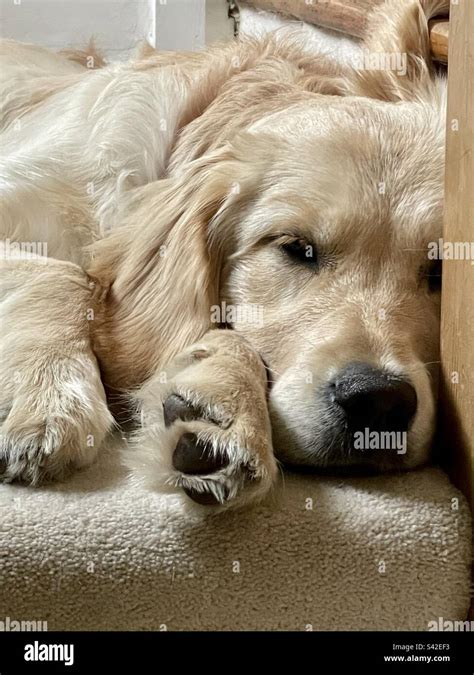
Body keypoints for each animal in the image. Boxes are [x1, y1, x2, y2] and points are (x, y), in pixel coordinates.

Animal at [0, 0, 450, 508]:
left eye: (441, 269)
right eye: (297, 248)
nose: (379, 401)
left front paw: (223, 398)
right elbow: (65, 274)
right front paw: (49, 394)